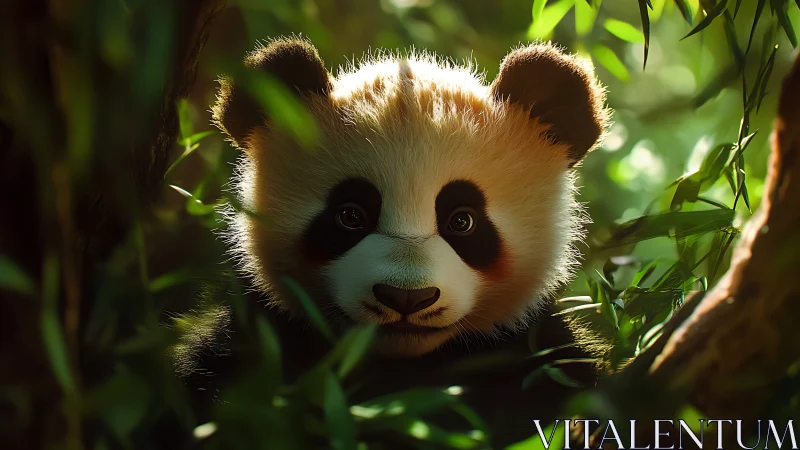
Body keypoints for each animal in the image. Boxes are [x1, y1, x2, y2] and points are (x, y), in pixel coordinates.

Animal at [182, 35, 610, 447]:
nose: (406, 298)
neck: (406, 364)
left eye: (462, 221)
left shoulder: (535, 356)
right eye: (351, 216)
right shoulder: (252, 343)